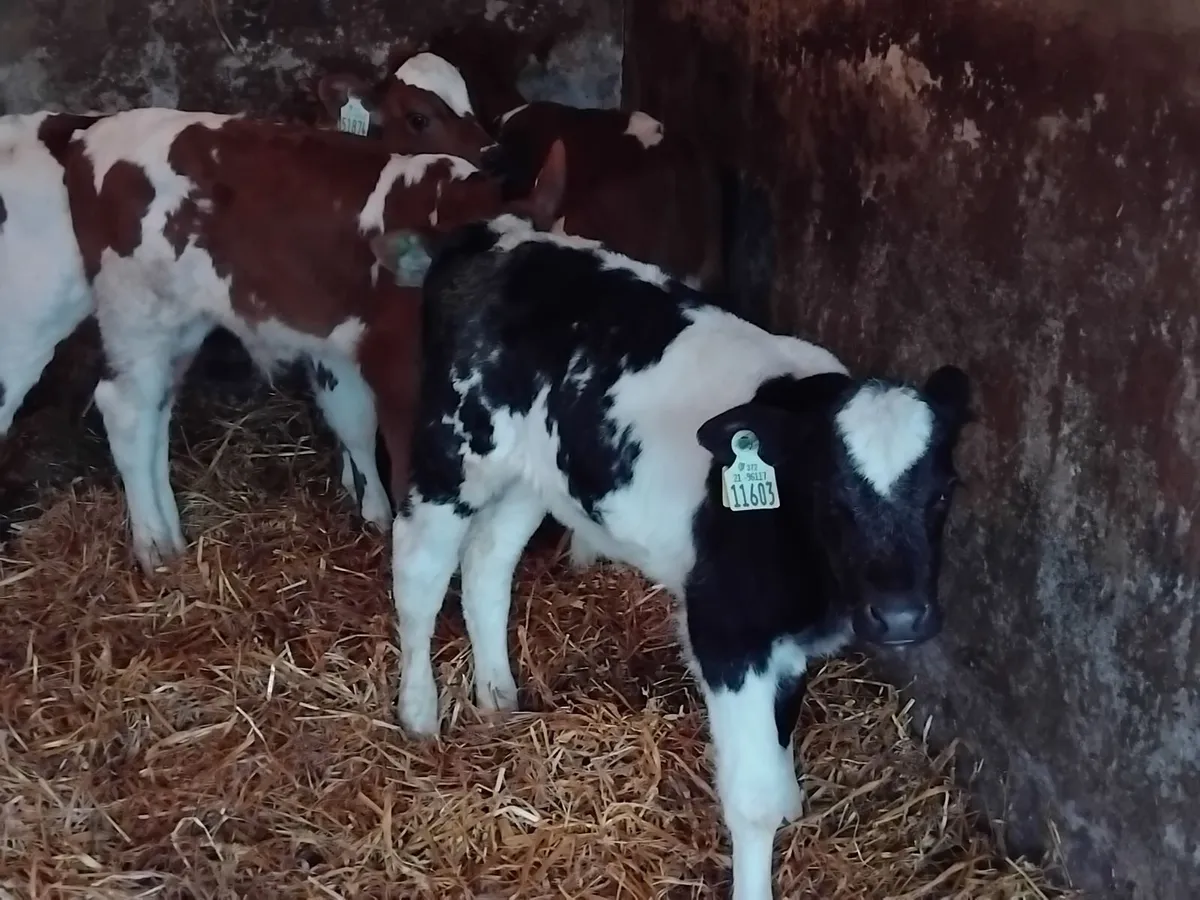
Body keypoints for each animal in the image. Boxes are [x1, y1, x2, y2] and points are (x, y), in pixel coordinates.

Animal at [61, 106, 567, 572]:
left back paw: (169, 532)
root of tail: (92, 137)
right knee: (125, 409)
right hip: (136, 312)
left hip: (181, 322)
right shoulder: (396, 365)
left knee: (156, 411)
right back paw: (153, 546)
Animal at [366, 214, 973, 900]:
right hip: (453, 452)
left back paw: (498, 694)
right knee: (419, 571)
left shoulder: (785, 639)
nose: (901, 616)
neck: (809, 583)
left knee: (487, 562)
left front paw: (791, 798)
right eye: (829, 493)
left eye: (944, 491)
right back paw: (419, 711)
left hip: (537, 478)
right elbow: (751, 799)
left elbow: (784, 722)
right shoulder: (725, 628)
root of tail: (494, 232)